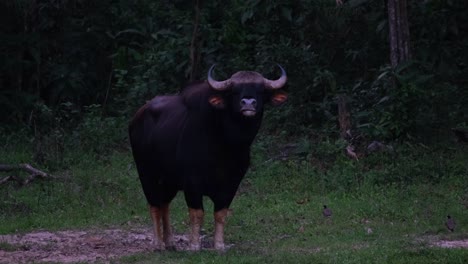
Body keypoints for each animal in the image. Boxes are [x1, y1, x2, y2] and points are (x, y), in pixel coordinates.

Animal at [130, 65, 288, 251]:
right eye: (233, 91)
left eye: (261, 91)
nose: (248, 103)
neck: (226, 146)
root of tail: (137, 117)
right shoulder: (192, 182)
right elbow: (197, 213)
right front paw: (194, 245)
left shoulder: (232, 184)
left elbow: (221, 214)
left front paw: (219, 245)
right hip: (146, 173)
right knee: (154, 205)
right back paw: (157, 244)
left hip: (169, 180)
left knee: (164, 205)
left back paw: (169, 242)